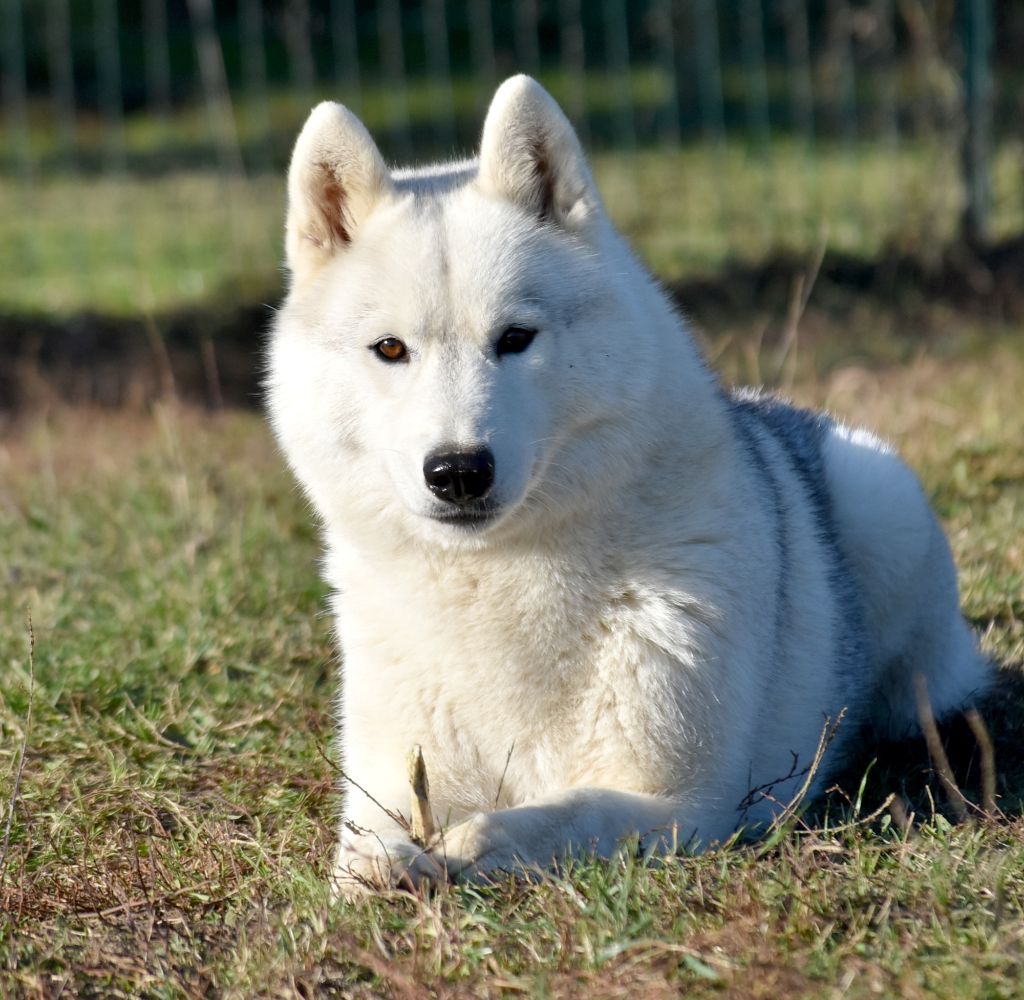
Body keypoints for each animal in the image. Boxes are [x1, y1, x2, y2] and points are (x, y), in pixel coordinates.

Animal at [266, 74, 991, 892]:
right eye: (390, 349)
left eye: (515, 339)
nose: (458, 471)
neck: (499, 581)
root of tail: (767, 413)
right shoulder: (389, 786)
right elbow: (365, 851)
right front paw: (388, 870)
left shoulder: (683, 807)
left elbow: (521, 826)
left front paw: (456, 855)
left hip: (885, 512)